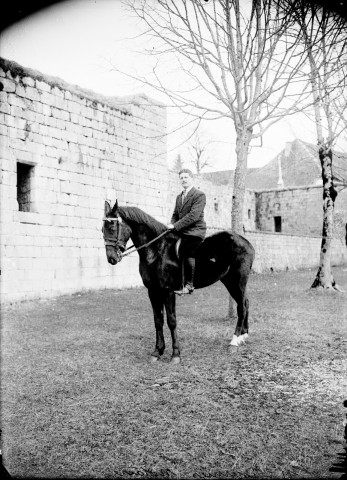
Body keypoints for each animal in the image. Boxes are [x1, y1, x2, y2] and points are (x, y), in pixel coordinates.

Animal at [103, 202, 256, 364]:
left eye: (112, 227)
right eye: (102, 229)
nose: (111, 258)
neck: (157, 250)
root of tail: (246, 242)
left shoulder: (168, 291)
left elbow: (171, 321)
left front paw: (175, 354)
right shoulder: (153, 291)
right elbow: (158, 320)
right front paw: (157, 351)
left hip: (238, 280)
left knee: (241, 306)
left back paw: (234, 341)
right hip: (230, 281)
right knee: (245, 303)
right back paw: (243, 336)